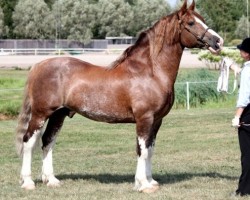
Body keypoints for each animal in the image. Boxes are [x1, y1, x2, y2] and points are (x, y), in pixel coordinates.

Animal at [16, 0, 223, 194]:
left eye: (202, 20)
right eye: (191, 22)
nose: (218, 41)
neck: (150, 71)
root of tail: (39, 65)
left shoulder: (156, 121)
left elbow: (150, 150)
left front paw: (151, 181)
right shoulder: (144, 119)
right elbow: (142, 150)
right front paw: (143, 184)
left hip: (58, 115)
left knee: (48, 141)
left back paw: (51, 180)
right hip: (40, 114)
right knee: (29, 142)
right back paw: (28, 182)